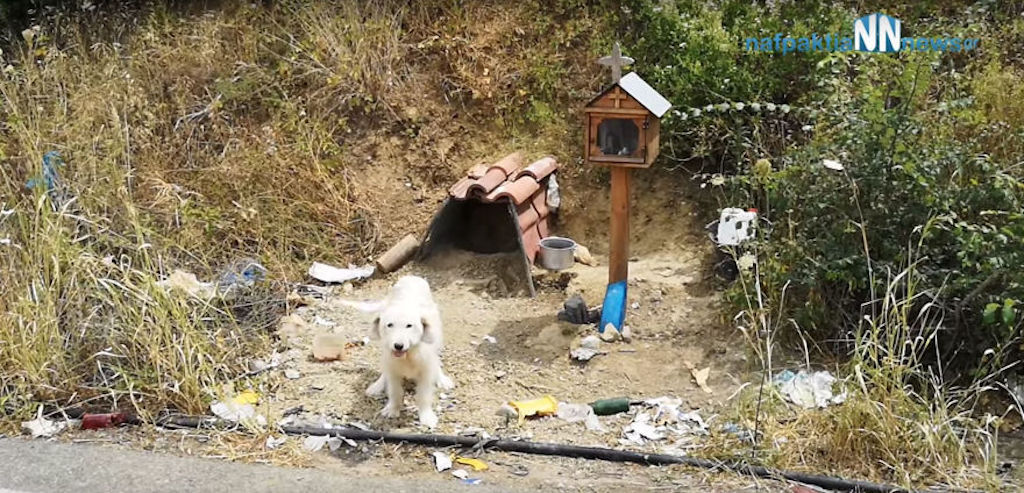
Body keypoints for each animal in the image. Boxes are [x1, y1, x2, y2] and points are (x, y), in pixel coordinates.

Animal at [364, 272, 452, 426]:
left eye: (409, 326)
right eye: (389, 325)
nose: (398, 345)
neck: (409, 355)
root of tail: (412, 276)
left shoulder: (426, 371)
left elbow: (424, 395)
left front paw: (426, 416)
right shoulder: (393, 369)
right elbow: (395, 391)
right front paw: (392, 409)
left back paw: (442, 379)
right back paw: (377, 385)